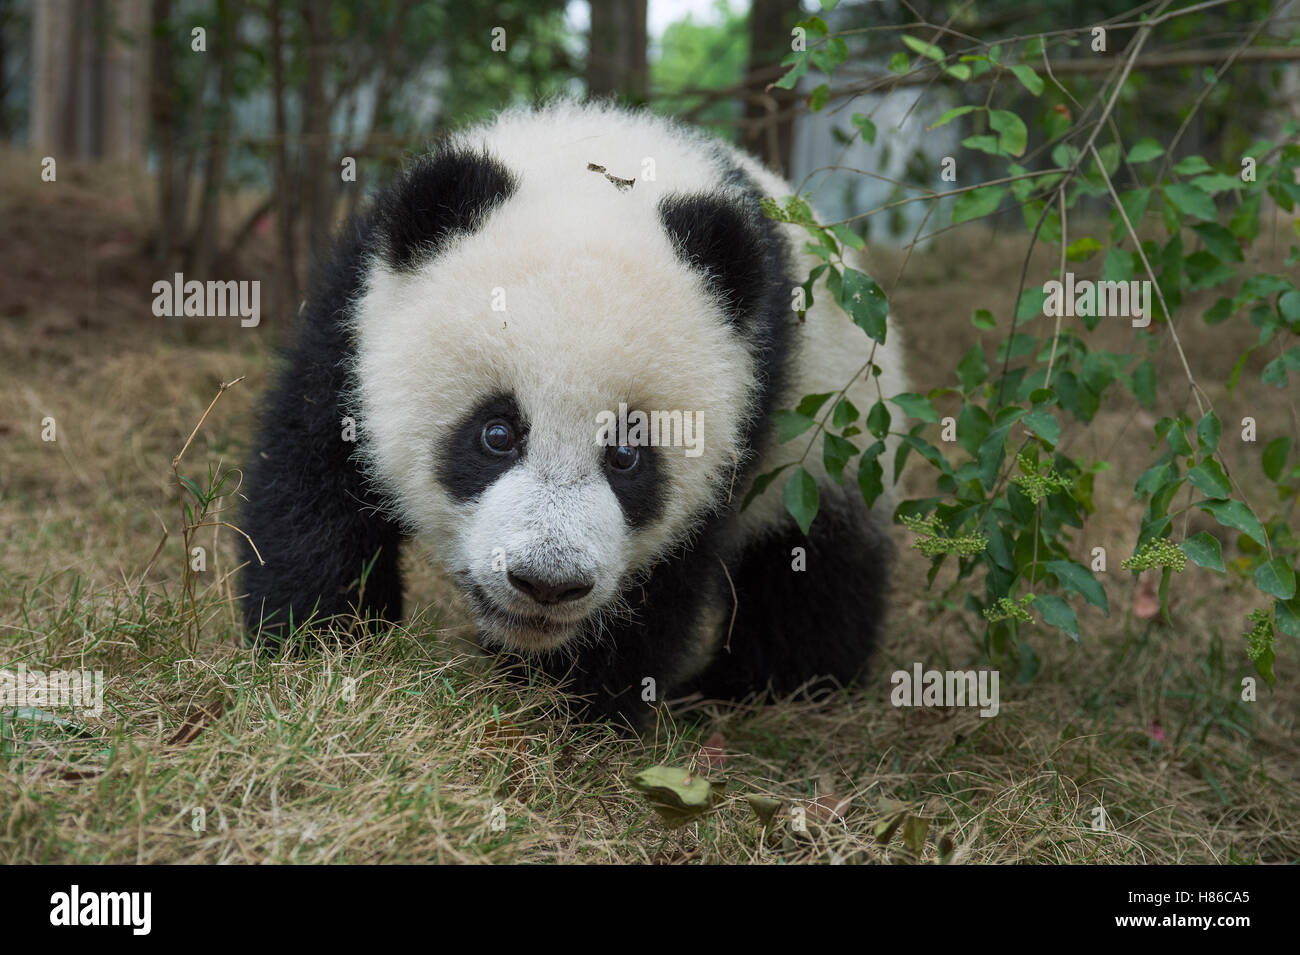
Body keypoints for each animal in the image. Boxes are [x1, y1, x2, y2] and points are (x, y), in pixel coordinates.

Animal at [240, 101, 909, 727]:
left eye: (627, 453)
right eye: (497, 433)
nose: (546, 583)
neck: (601, 168)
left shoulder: (751, 404)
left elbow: (664, 583)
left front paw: (564, 712)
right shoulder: (353, 320)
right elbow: (313, 483)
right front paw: (324, 654)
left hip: (826, 445)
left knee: (813, 575)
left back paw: (761, 687)